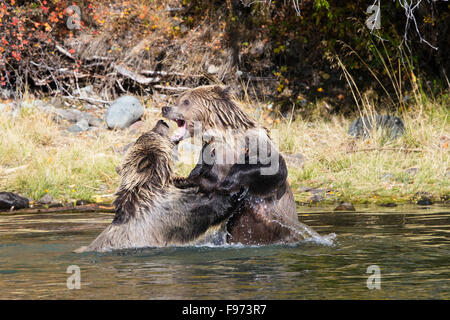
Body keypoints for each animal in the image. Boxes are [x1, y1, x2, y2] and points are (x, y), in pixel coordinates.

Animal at [163, 85, 302, 245]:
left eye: (186, 101)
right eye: (178, 99)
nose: (165, 108)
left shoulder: (256, 145)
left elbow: (272, 168)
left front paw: (229, 182)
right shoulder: (211, 155)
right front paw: (182, 179)